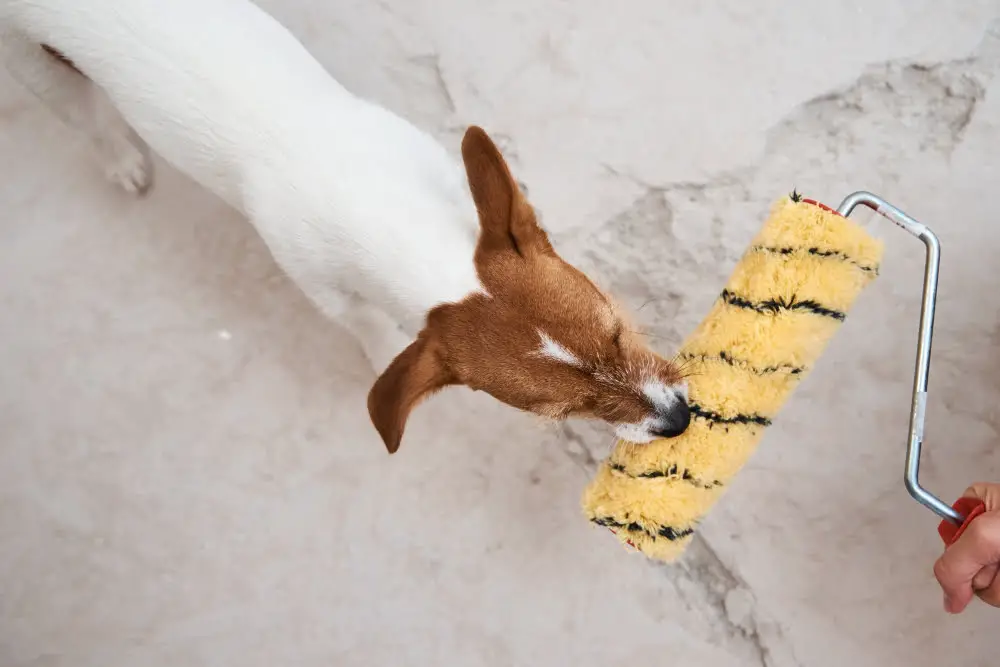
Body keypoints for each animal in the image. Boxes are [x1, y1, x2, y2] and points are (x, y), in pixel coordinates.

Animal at [0, 0, 692, 454]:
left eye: (616, 332)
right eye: (561, 410)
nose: (681, 420)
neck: (379, 210)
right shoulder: (330, 292)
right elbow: (373, 334)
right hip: (37, 69)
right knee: (83, 118)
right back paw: (118, 158)